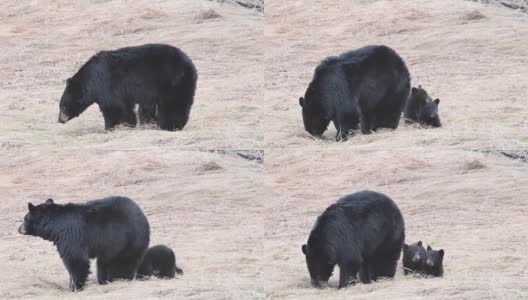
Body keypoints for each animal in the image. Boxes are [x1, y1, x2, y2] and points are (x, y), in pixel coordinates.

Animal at [17, 197, 150, 290]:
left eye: (24, 219)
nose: (18, 229)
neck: (55, 226)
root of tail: (141, 213)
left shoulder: (70, 237)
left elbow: (76, 260)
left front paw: (74, 287)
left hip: (129, 240)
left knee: (124, 262)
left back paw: (120, 279)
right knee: (104, 263)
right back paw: (104, 281)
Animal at [57, 43, 198, 131]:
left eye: (63, 106)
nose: (59, 120)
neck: (92, 81)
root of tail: (189, 63)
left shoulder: (108, 85)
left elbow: (114, 108)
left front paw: (110, 127)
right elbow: (126, 108)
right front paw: (129, 125)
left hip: (172, 81)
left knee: (174, 103)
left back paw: (171, 125)